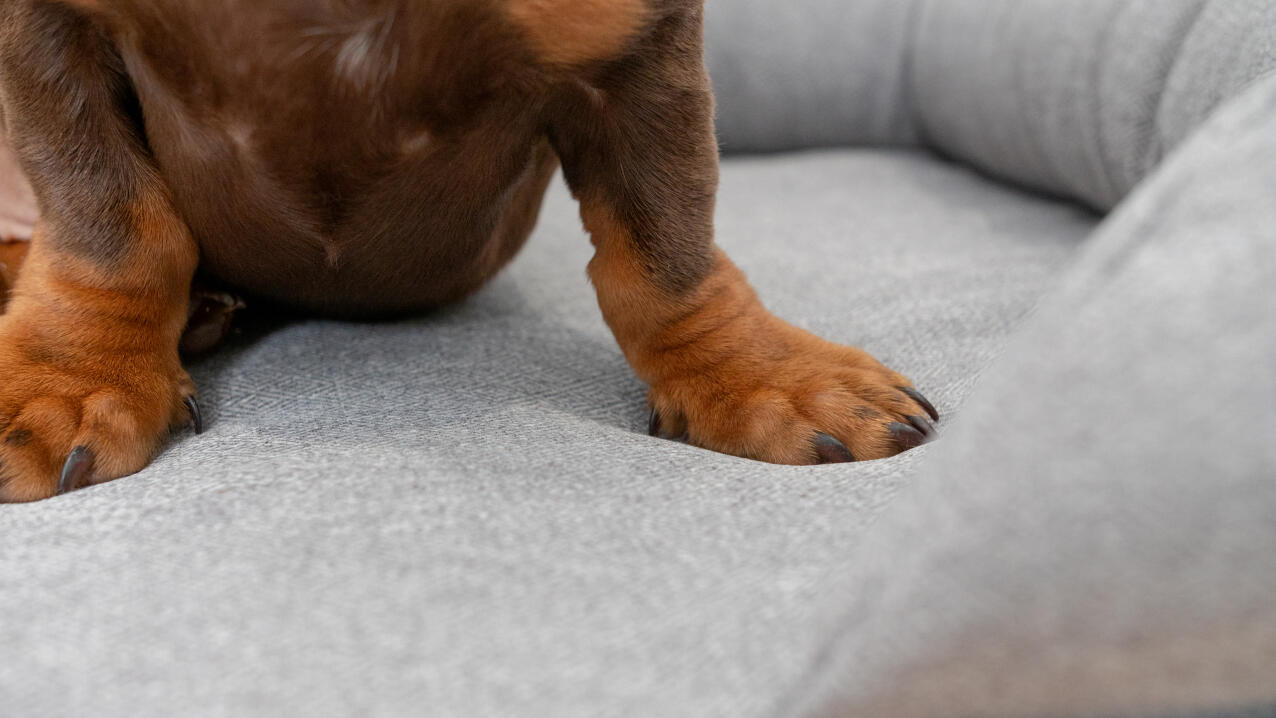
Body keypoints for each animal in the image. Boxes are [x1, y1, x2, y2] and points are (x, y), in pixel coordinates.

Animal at [0, 0, 939, 502]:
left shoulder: (632, 47)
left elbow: (665, 255)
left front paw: (757, 374)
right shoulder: (51, 34)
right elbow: (113, 233)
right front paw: (72, 378)